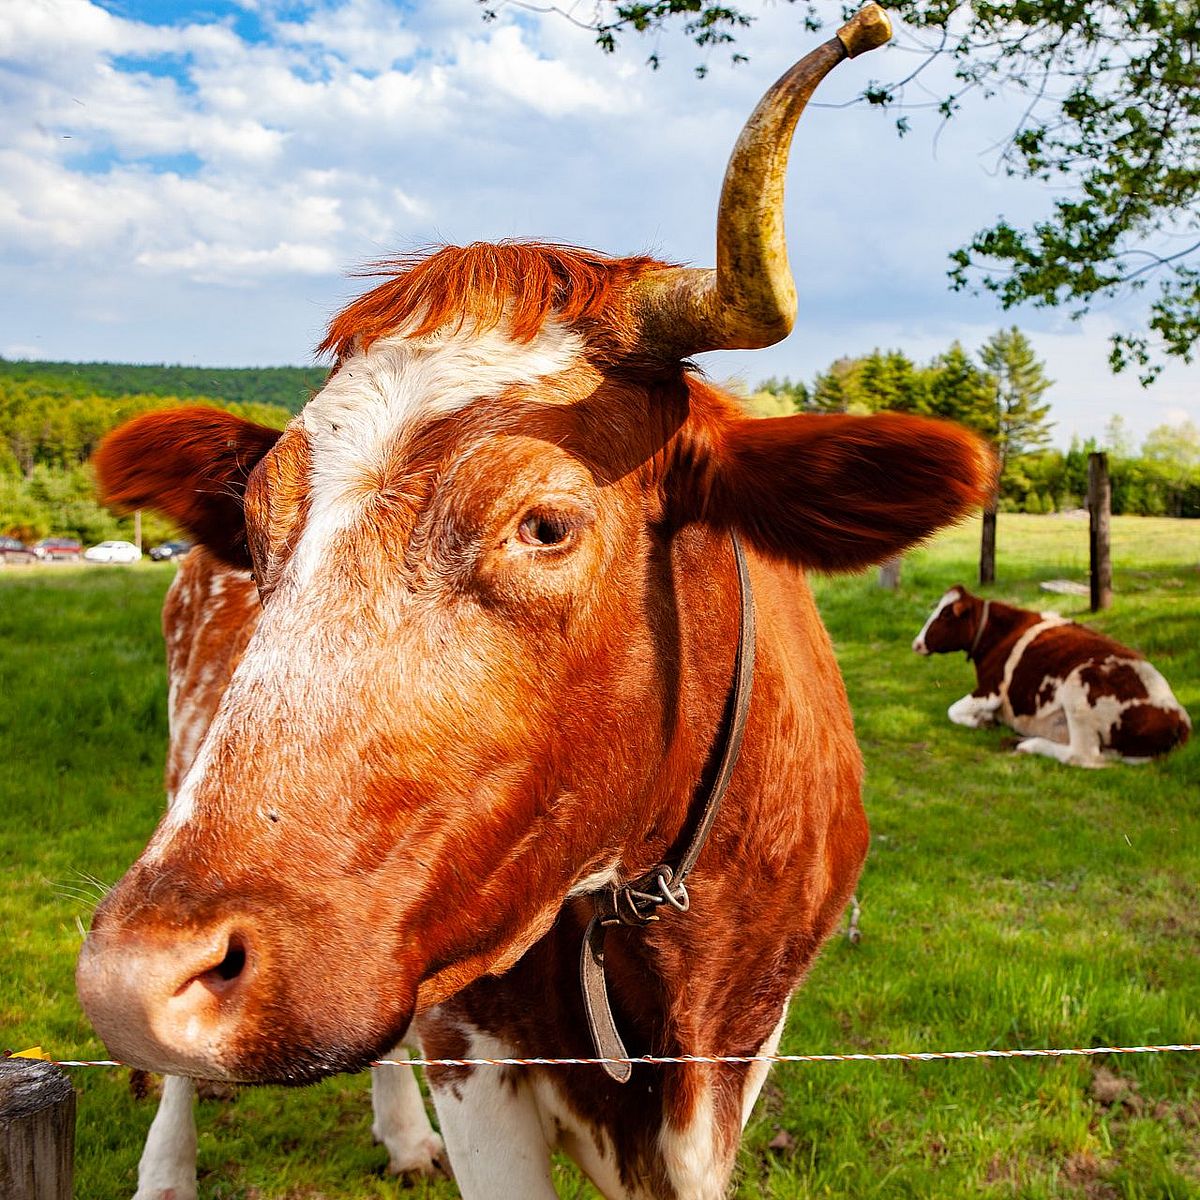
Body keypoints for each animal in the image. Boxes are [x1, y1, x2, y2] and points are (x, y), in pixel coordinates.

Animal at [912, 584, 1191, 767]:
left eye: (945, 615)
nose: (916, 644)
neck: (997, 635)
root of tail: (1177, 715)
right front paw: (986, 719)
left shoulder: (991, 690)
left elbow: (952, 711)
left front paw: (982, 721)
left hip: (1079, 688)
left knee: (1082, 756)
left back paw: (1028, 744)